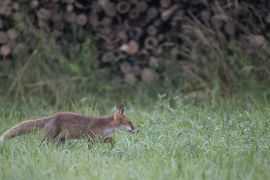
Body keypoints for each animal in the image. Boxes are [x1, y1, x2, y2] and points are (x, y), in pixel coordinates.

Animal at [0, 104, 139, 148]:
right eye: (130, 123)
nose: (138, 130)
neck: (105, 126)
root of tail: (51, 116)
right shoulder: (90, 138)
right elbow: (91, 149)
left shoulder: (100, 138)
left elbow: (111, 139)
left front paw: (113, 146)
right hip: (50, 137)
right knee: (40, 145)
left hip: (61, 140)